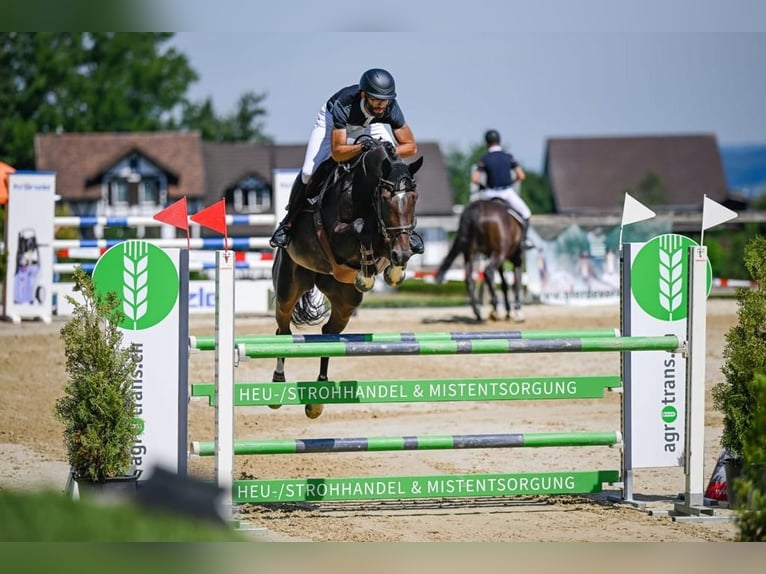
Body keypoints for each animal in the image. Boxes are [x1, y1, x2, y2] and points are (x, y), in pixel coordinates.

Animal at [272, 138, 426, 418]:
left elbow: (381, 240)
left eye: (414, 197)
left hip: (344, 303)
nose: (401, 254)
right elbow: (360, 226)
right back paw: (278, 384)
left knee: (328, 335)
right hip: (288, 288)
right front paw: (370, 271)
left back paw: (318, 397)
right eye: (386, 198)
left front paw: (393, 270)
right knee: (283, 331)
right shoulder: (336, 237)